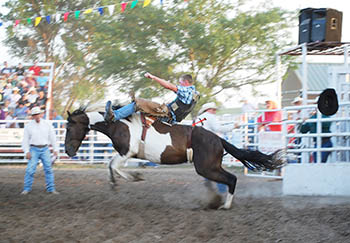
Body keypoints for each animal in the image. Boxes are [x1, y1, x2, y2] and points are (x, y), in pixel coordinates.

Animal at [65, 108, 284, 209]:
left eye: (68, 127)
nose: (68, 151)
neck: (117, 123)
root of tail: (218, 139)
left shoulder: (127, 152)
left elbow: (114, 166)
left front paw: (134, 177)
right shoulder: (124, 153)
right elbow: (111, 165)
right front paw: (116, 182)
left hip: (206, 167)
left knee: (232, 179)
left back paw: (226, 205)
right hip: (210, 167)